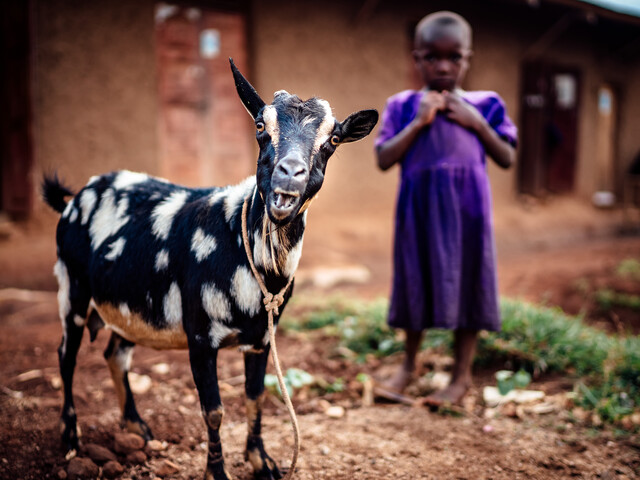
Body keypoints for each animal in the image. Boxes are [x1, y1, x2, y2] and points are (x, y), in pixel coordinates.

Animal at [42, 60, 378, 480]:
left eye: (332, 139)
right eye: (260, 126)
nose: (289, 173)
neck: (241, 242)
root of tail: (75, 198)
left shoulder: (261, 338)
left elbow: (255, 399)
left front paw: (262, 461)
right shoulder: (200, 337)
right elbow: (214, 411)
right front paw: (217, 471)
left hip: (128, 304)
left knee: (115, 354)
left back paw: (136, 426)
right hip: (72, 290)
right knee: (66, 355)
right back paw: (71, 437)